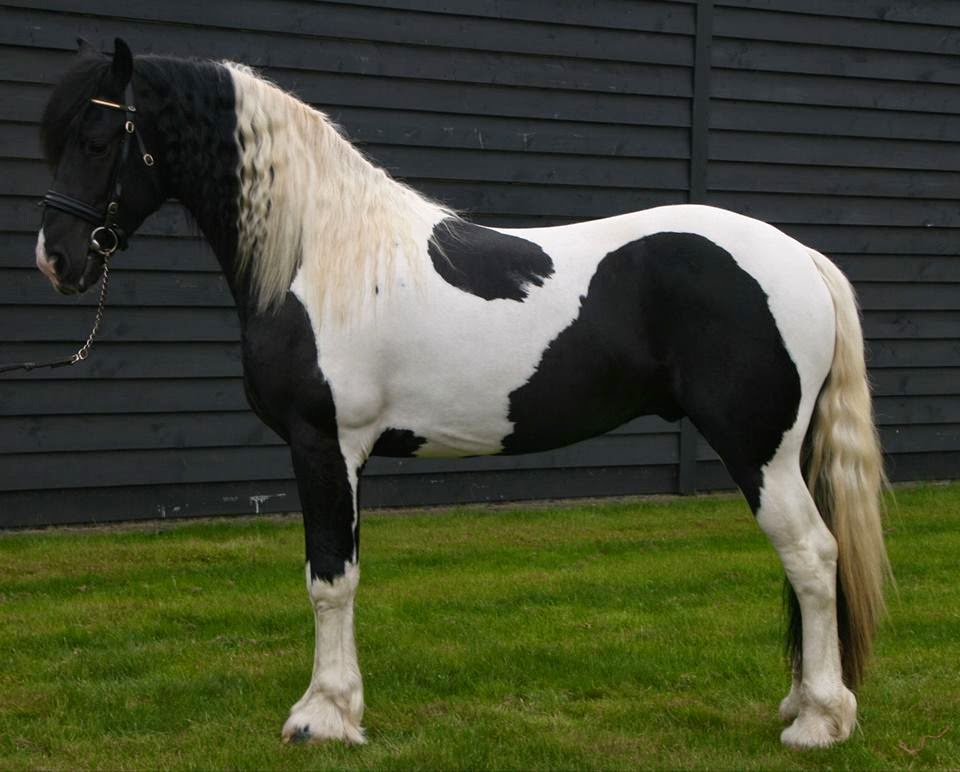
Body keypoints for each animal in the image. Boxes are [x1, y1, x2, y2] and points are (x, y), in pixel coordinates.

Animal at [35, 39, 890, 749]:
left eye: (99, 139)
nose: (57, 259)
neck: (320, 253)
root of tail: (801, 257)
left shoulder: (324, 444)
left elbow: (330, 579)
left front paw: (323, 716)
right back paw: (804, 702)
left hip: (759, 451)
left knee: (811, 555)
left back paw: (819, 721)